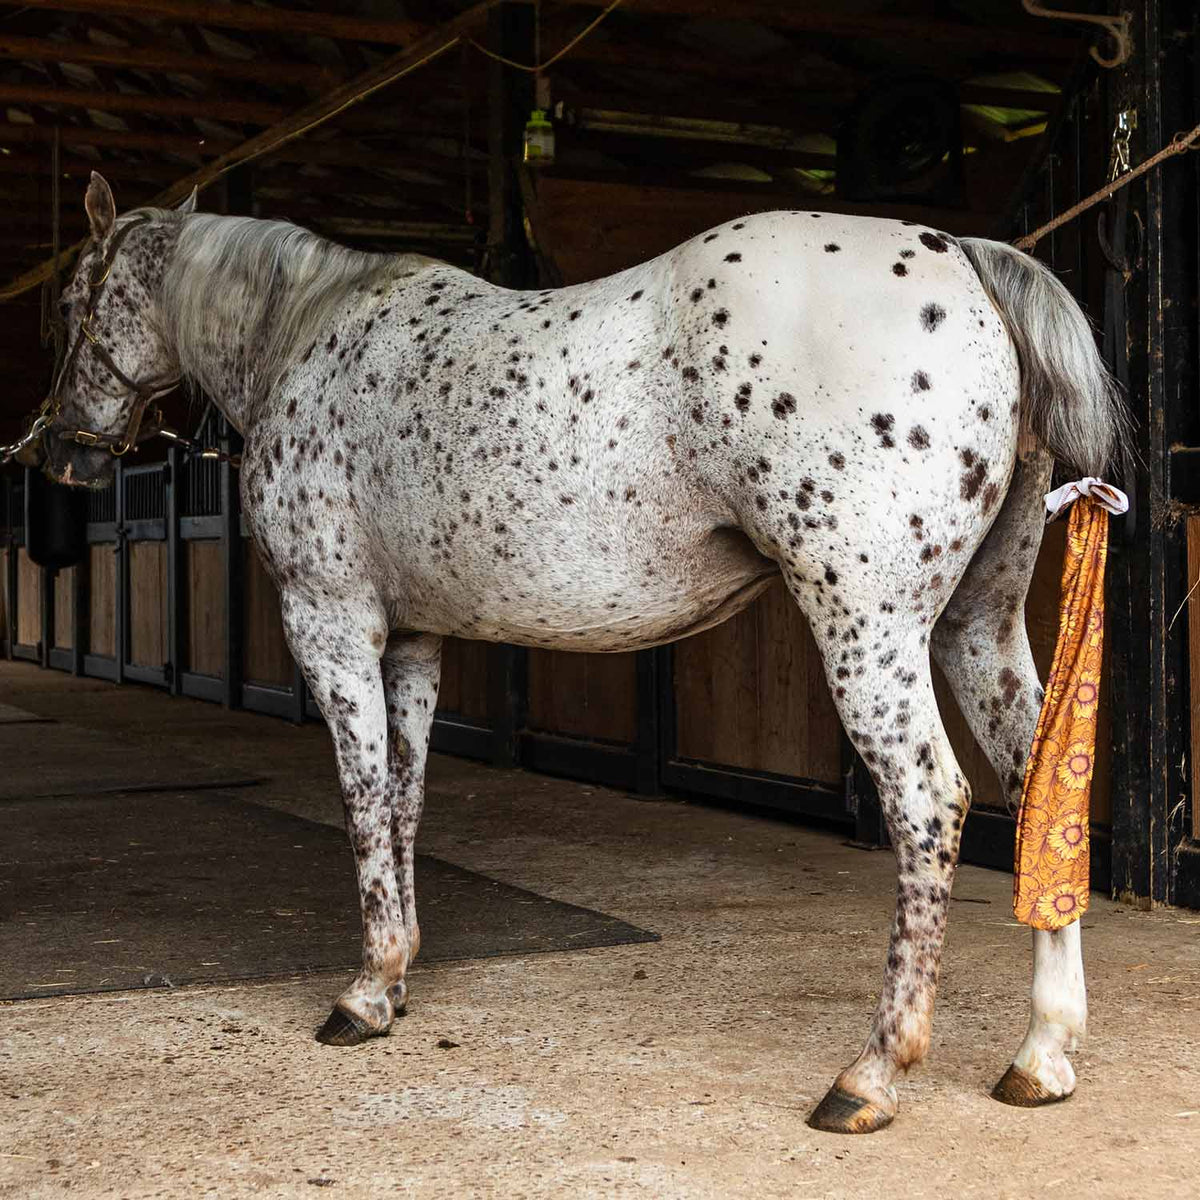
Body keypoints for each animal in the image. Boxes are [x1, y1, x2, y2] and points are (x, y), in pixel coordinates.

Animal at [37, 171, 1126, 1134]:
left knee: (929, 804)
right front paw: (401, 976)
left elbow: (359, 796)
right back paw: (1043, 1054)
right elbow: (404, 796)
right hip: (977, 624)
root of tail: (966, 260)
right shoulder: (415, 640)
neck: (307, 333)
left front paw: (364, 992)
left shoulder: (332, 620)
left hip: (869, 626)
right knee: (1038, 787)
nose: (59, 450)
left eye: (71, 302)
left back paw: (871, 1074)